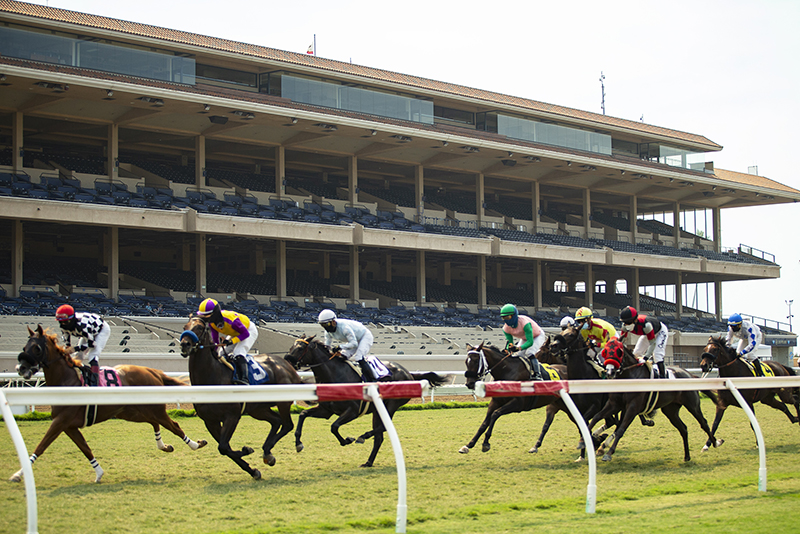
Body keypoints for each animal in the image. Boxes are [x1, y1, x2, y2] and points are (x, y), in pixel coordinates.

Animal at [10, 326, 208, 486]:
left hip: (153, 410)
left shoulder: (61, 421)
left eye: (36, 348)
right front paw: (98, 473)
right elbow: (85, 448)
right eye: (24, 347)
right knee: (155, 423)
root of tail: (152, 371)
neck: (67, 380)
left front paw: (18, 474)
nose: (21, 369)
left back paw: (195, 444)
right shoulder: (69, 425)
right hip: (133, 412)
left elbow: (41, 446)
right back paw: (164, 446)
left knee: (173, 425)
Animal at [180, 316, 302, 480]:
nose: (184, 344)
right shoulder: (210, 421)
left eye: (199, 327)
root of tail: (287, 364)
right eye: (184, 326)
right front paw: (253, 470)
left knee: (287, 425)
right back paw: (267, 452)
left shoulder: (232, 416)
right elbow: (225, 448)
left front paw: (247, 450)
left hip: (282, 402)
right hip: (258, 409)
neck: (212, 376)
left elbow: (223, 447)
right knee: (276, 421)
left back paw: (269, 450)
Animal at [282, 340, 446, 468]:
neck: (335, 375)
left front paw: (347, 440)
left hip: (392, 405)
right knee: (379, 437)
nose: (287, 360)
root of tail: (409, 373)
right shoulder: (326, 411)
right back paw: (368, 462)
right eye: (291, 346)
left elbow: (334, 426)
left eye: (300, 348)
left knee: (383, 428)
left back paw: (363, 436)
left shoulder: (353, 411)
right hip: (377, 410)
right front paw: (298, 443)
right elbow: (303, 414)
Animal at [584, 344, 720, 464]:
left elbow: (621, 429)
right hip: (670, 410)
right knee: (683, 428)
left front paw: (608, 452)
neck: (630, 376)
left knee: (704, 423)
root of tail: (688, 373)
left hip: (692, 405)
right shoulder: (615, 404)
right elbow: (596, 417)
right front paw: (585, 440)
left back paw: (714, 443)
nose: (609, 372)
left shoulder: (632, 407)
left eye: (618, 352)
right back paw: (687, 456)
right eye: (605, 352)